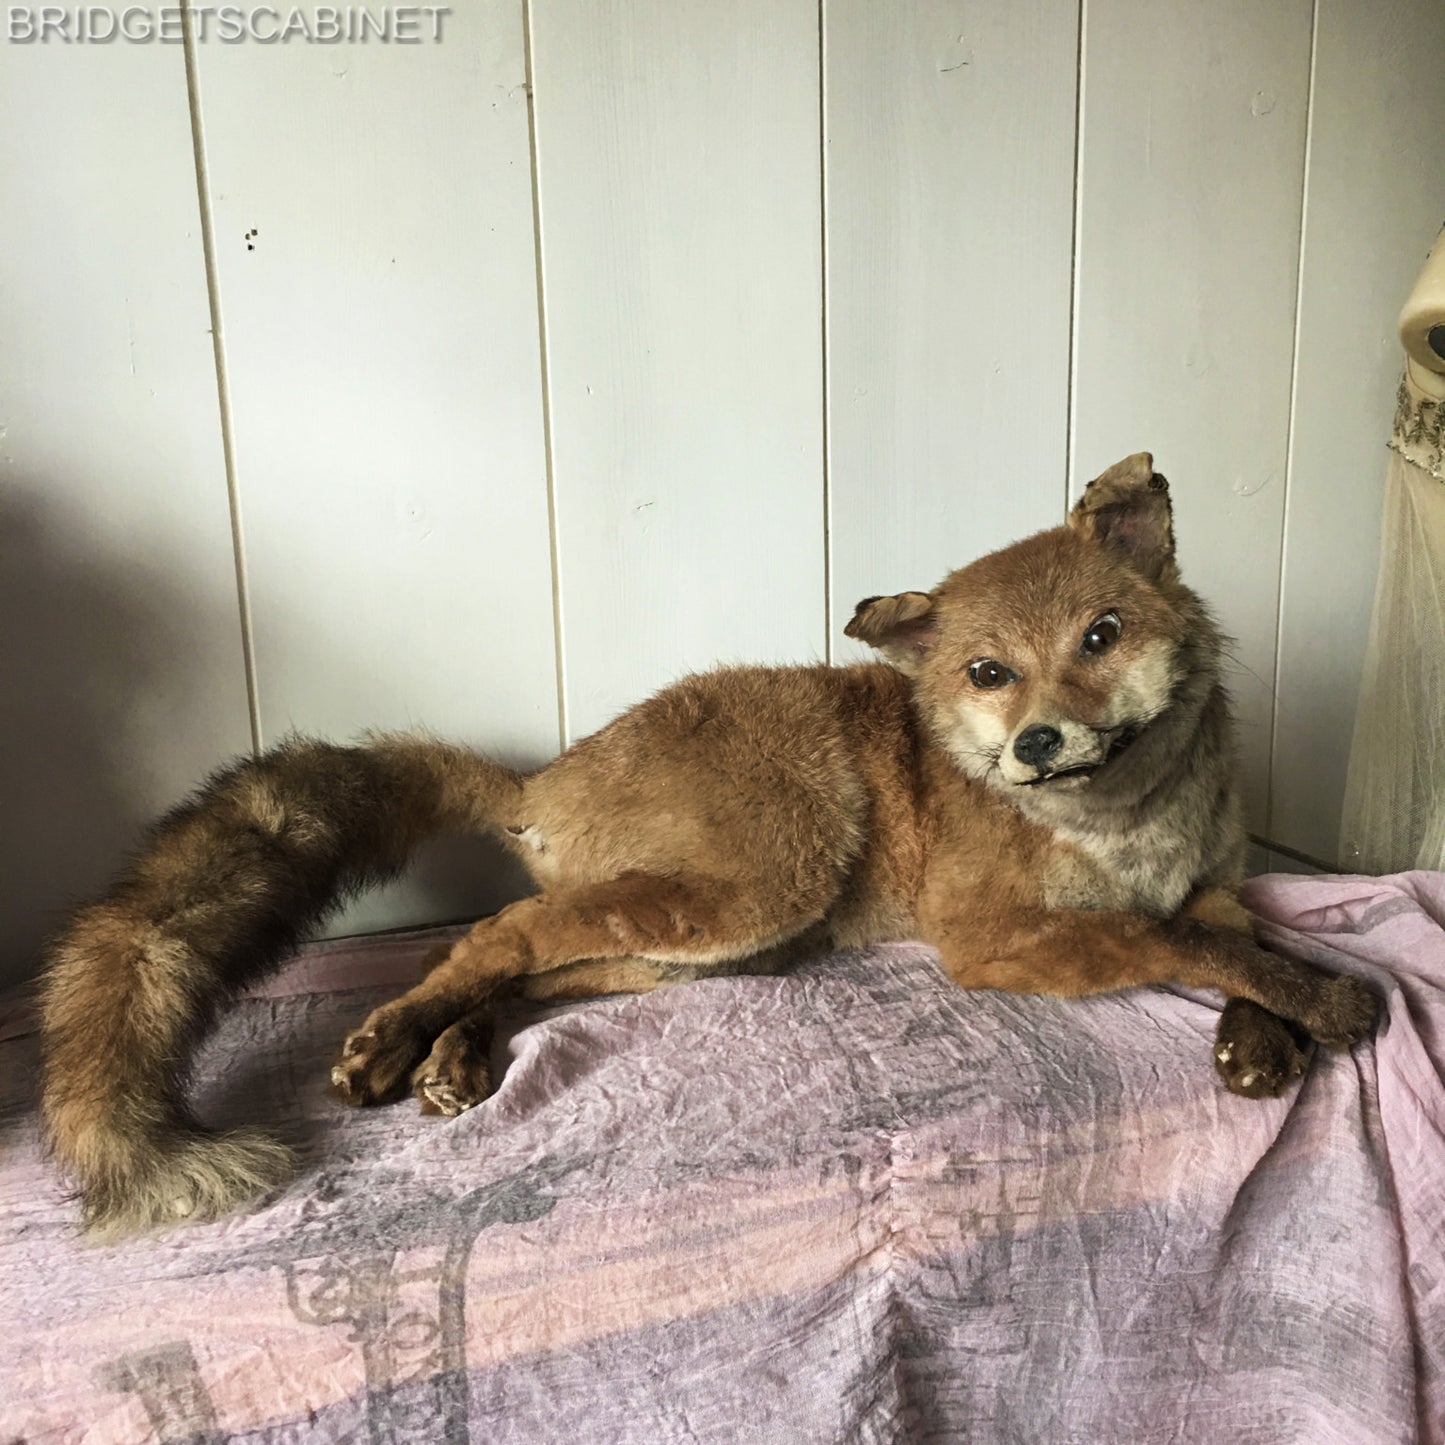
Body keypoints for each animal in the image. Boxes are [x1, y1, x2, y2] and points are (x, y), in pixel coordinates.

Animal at [38, 453, 1379, 1239]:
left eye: (1100, 634)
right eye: (987, 673)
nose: (1039, 741)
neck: (1120, 831)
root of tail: (549, 771)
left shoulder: (1214, 884)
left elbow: (1234, 940)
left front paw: (1265, 1036)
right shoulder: (993, 939)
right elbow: (1182, 947)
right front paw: (1324, 1002)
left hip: (695, 946)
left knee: (529, 967)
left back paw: (454, 1051)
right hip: (757, 890)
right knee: (496, 930)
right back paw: (392, 1037)